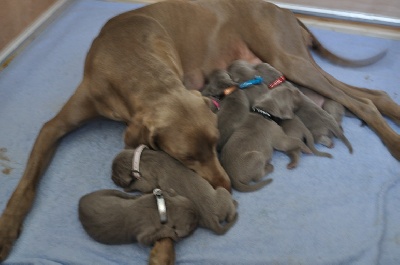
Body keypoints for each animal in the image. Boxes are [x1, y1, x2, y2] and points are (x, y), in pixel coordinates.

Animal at [0, 0, 400, 260]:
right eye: (186, 157)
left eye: (217, 143)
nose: (225, 186)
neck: (129, 59)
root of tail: (283, 10)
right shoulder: (54, 126)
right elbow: (27, 184)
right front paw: (7, 230)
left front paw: (163, 249)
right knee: (372, 95)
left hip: (288, 58)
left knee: (362, 101)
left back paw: (393, 143)